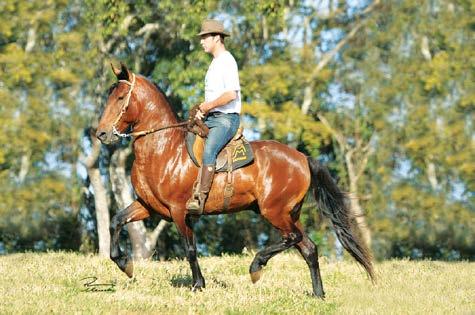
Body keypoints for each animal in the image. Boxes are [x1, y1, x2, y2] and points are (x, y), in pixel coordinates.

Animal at [96, 63, 376, 298]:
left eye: (120, 98)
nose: (101, 133)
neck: (162, 149)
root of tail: (303, 158)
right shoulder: (148, 206)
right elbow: (116, 221)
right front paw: (125, 264)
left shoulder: (179, 211)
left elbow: (190, 249)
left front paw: (198, 285)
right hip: (289, 213)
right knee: (308, 248)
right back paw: (318, 294)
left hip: (274, 211)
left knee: (293, 239)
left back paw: (256, 266)